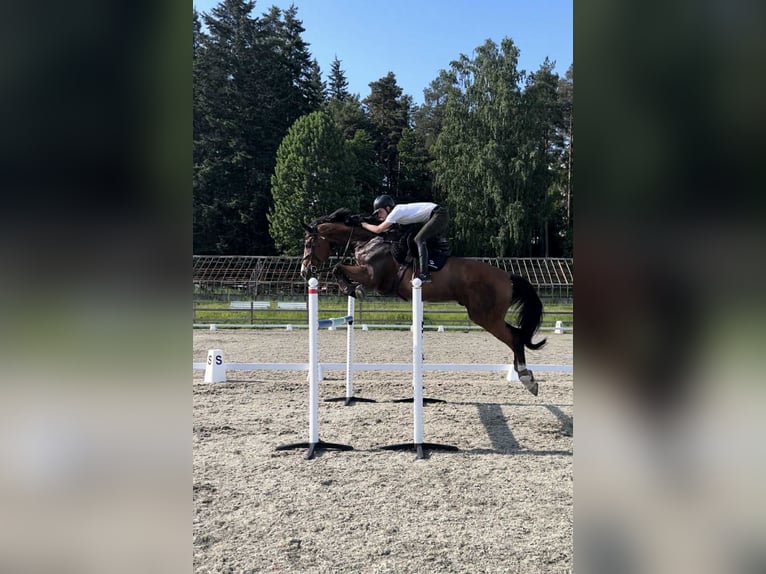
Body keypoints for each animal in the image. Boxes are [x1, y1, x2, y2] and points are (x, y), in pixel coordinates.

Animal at [300, 208, 547, 395]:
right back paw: (526, 376)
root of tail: (508, 277)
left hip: (486, 317)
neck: (370, 240)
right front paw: (351, 288)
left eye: (309, 243)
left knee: (516, 337)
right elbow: (339, 269)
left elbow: (337, 267)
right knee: (516, 335)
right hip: (488, 316)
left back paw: (526, 377)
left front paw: (352, 289)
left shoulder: (372, 276)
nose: (305, 271)